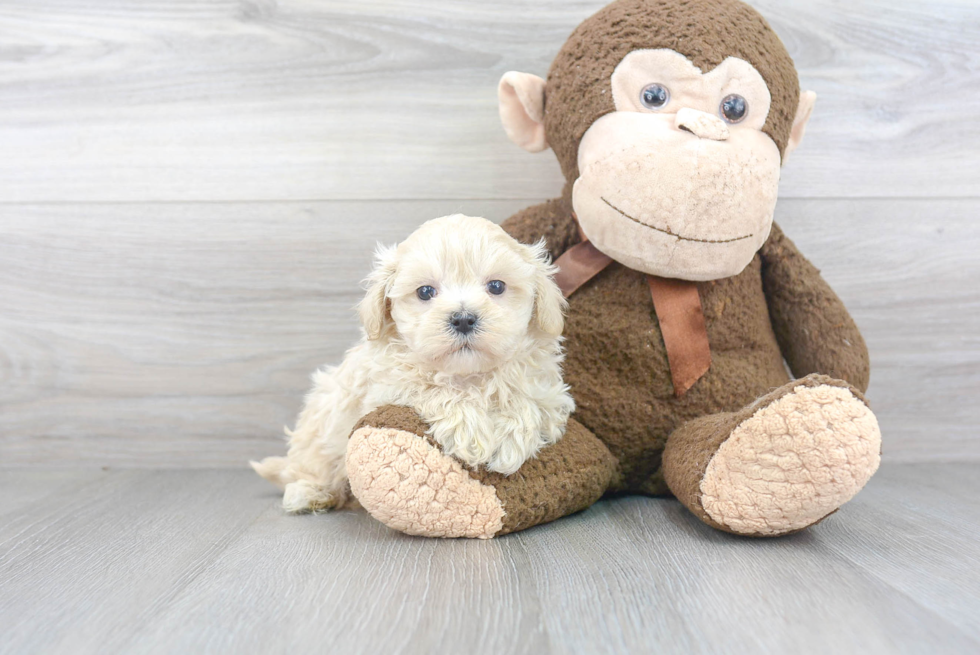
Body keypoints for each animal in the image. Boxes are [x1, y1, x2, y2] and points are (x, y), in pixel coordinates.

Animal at [251, 214, 576, 512]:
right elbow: (433, 389)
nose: (463, 318)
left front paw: (510, 439)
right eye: (425, 292)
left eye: (496, 286)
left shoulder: (549, 392)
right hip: (319, 427)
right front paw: (471, 432)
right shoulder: (384, 389)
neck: (469, 375)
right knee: (307, 468)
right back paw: (310, 493)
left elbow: (527, 402)